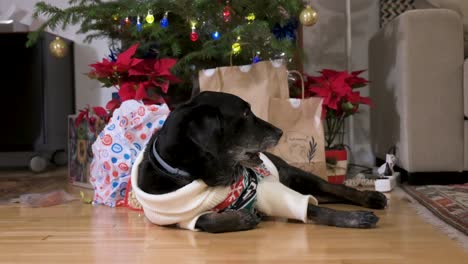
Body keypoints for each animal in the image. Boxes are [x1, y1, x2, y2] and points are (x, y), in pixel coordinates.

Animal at [138, 91, 388, 233]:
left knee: (335, 189)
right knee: (324, 196)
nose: (280, 131)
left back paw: (371, 198)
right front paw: (241, 219)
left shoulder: (269, 191)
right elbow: (206, 220)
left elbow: (313, 208)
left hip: (296, 175)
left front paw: (354, 218)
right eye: (246, 114)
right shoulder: (175, 216)